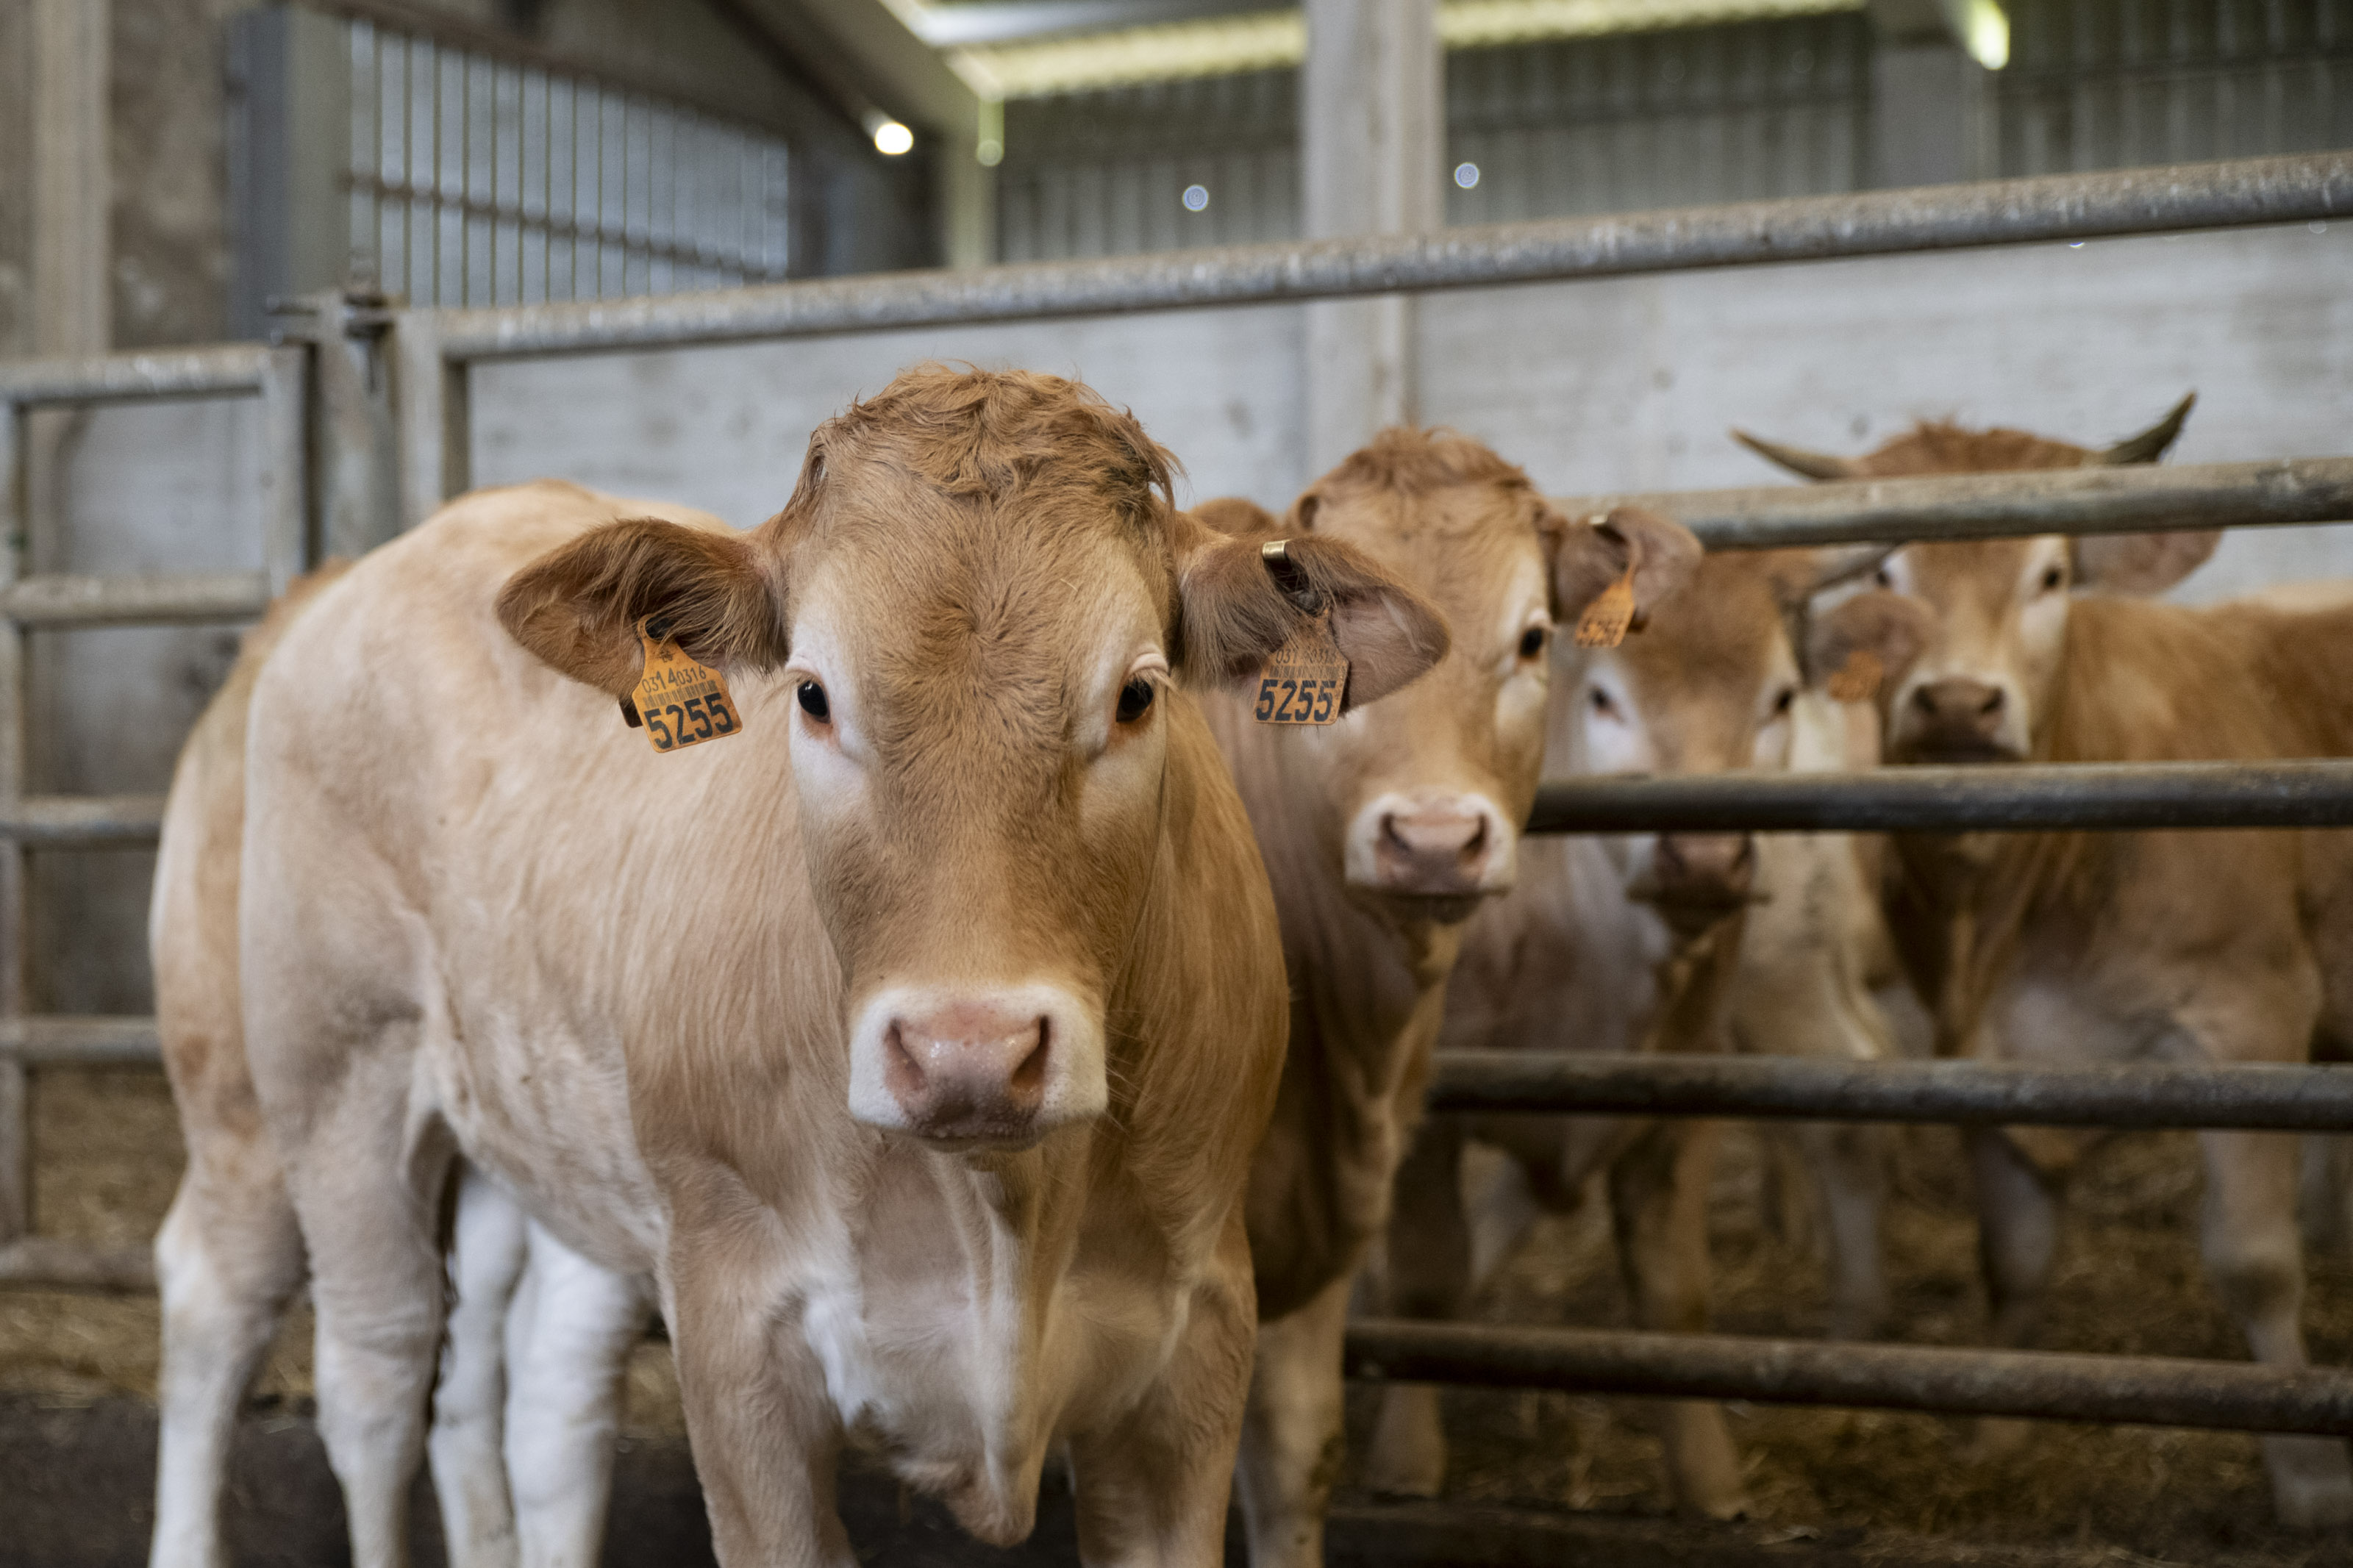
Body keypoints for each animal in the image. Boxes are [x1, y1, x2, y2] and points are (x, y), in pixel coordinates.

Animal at [216, 371, 1449, 1568]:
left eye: (1137, 693)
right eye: (812, 692)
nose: (968, 1053)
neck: (1002, 1217)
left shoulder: (1195, 1352)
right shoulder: (735, 1341)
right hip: (331, 1084)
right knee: (371, 1379)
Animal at [1779, 395, 2353, 1533]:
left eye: (2049, 576)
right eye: (1885, 571)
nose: (1960, 703)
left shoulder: (2250, 1014)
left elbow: (2255, 1262)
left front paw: (2312, 1483)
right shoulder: (1981, 1047)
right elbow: (2013, 1257)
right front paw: (1995, 1434)